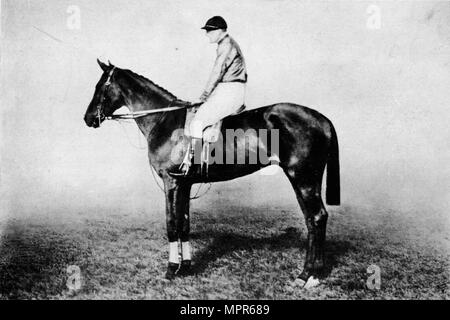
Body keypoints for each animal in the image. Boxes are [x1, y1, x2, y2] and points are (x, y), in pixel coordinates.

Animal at [83, 60, 342, 288]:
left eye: (100, 86)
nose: (88, 118)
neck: (165, 120)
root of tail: (323, 119)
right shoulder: (185, 184)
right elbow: (184, 224)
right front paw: (186, 266)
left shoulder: (171, 182)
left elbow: (171, 224)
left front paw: (171, 269)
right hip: (303, 181)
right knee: (311, 221)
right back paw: (312, 273)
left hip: (303, 179)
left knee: (317, 217)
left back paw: (308, 275)